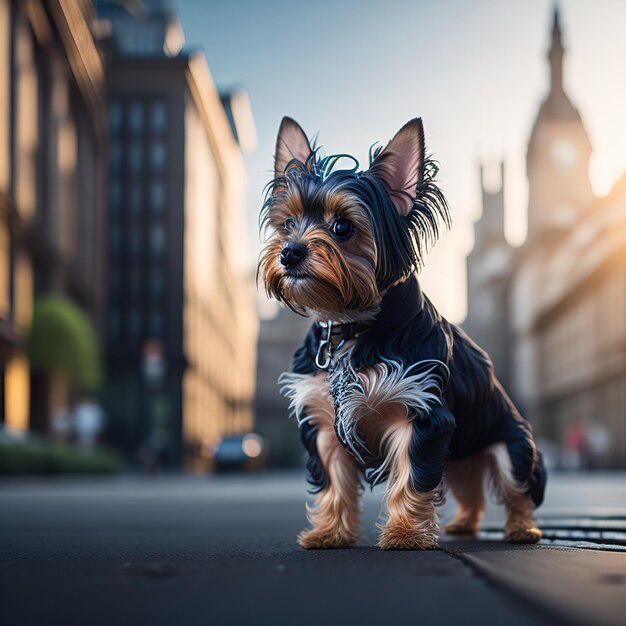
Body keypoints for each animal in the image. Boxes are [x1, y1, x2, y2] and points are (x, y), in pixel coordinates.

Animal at [256, 116, 544, 544]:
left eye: (342, 227)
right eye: (288, 223)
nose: (290, 252)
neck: (349, 325)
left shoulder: (421, 414)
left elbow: (413, 479)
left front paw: (405, 535)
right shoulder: (322, 425)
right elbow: (332, 483)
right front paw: (329, 533)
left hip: (510, 445)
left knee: (516, 486)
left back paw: (522, 528)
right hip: (459, 459)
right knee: (470, 490)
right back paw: (463, 523)